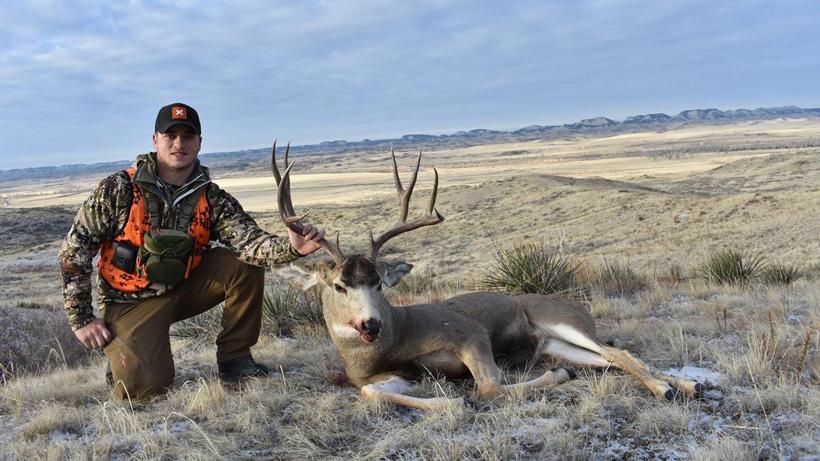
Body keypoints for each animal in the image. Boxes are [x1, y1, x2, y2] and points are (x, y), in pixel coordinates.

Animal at [271, 142, 706, 410]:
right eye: (339, 285)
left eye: (378, 282)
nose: (370, 323)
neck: (395, 339)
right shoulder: (390, 374)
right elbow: (372, 394)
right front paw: (449, 400)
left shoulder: (470, 335)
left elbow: (490, 385)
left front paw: (553, 379)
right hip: (554, 343)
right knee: (610, 359)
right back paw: (687, 384)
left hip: (561, 321)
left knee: (617, 352)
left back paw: (667, 388)